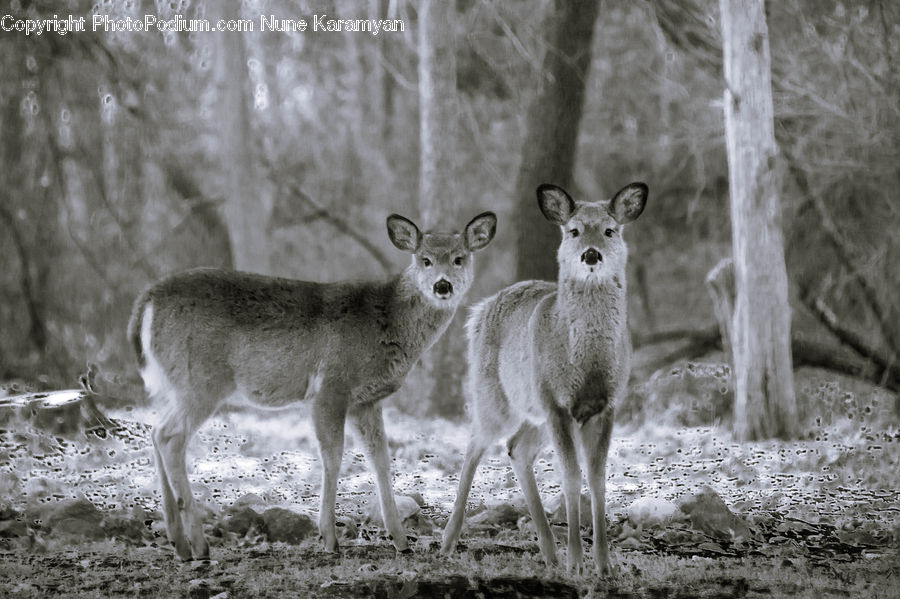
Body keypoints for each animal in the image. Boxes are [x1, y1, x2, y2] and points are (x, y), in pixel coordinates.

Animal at [130, 212, 500, 564]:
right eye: (424, 259)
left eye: (459, 258)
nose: (442, 285)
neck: (386, 321)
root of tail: (146, 303)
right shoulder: (332, 385)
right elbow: (333, 457)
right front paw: (330, 539)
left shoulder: (366, 401)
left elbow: (381, 460)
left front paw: (401, 541)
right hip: (201, 380)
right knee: (169, 436)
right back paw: (200, 546)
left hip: (171, 384)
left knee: (155, 432)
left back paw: (179, 544)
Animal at [442, 180, 648, 576]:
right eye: (573, 230)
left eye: (610, 230)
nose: (591, 255)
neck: (587, 366)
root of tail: (479, 311)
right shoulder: (556, 402)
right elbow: (571, 477)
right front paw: (577, 562)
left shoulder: (607, 404)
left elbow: (597, 479)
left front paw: (604, 564)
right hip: (495, 396)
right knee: (474, 444)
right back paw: (447, 541)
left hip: (533, 412)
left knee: (516, 449)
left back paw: (549, 552)